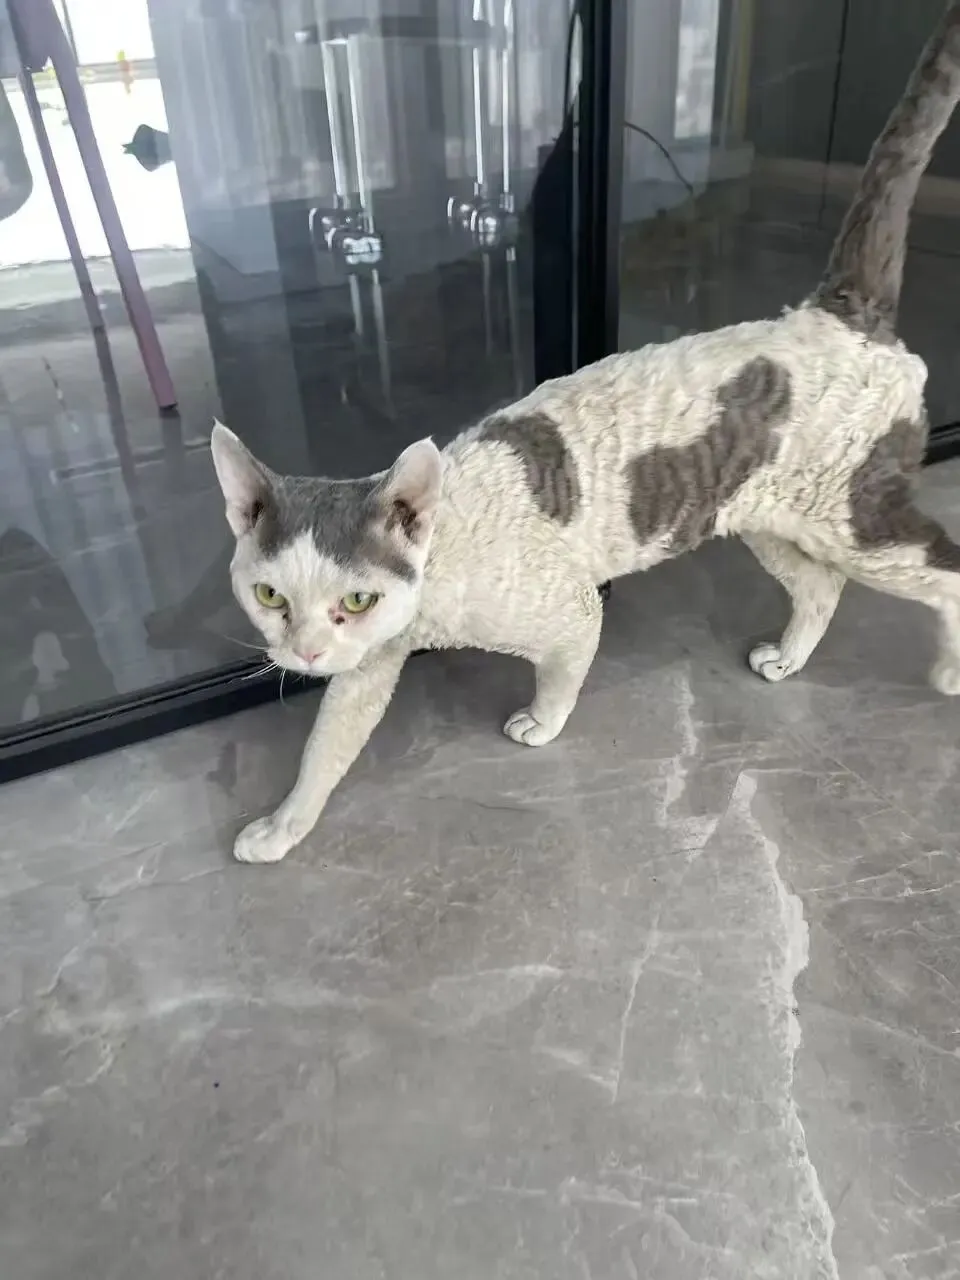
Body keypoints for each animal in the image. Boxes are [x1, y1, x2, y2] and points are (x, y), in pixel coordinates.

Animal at [212, 1, 960, 863]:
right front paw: (282, 828)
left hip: (857, 519)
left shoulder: (566, 608)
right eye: (270, 595)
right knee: (822, 586)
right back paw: (789, 656)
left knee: (941, 573)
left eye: (356, 599)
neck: (443, 562)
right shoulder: (369, 664)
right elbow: (327, 744)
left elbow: (567, 665)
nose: (302, 651)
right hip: (768, 517)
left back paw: (949, 673)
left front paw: (542, 722)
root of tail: (835, 313)